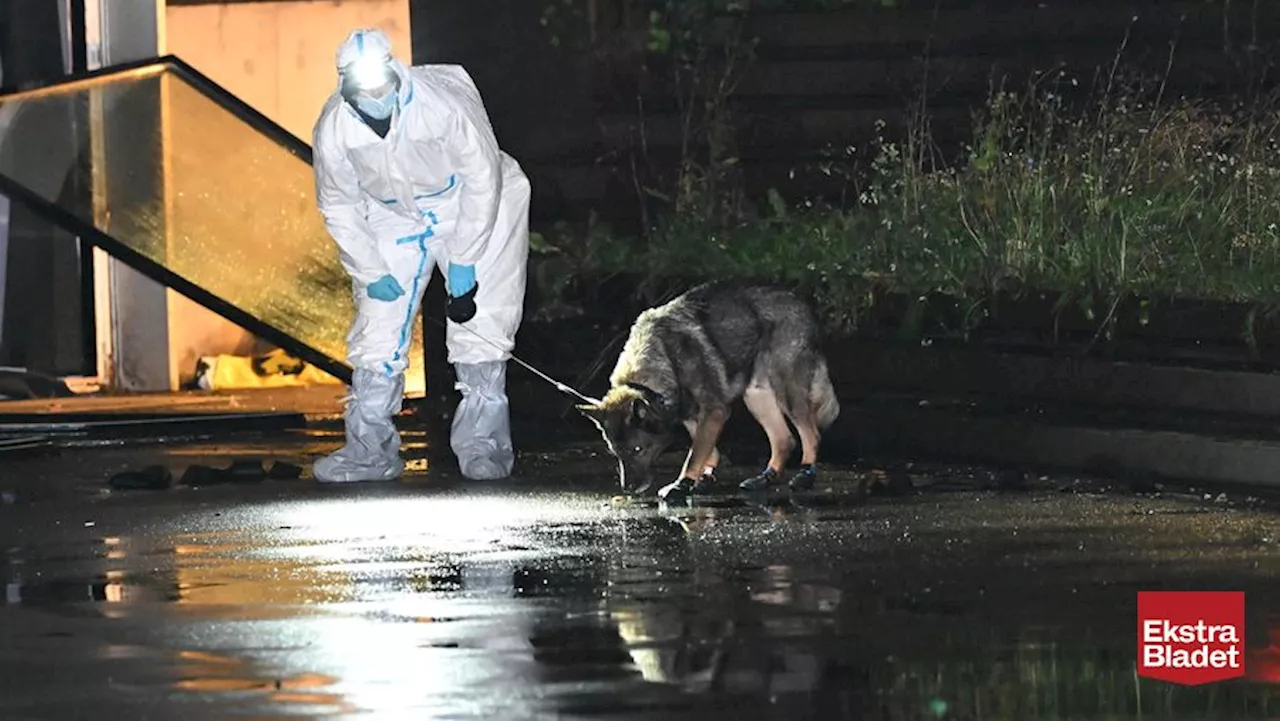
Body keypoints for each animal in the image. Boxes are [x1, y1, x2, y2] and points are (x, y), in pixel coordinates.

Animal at [578, 283, 839, 502]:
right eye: (615, 452)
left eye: (637, 450)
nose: (629, 489)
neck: (662, 358)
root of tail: (802, 304)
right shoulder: (690, 413)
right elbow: (706, 449)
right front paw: (703, 476)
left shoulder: (715, 411)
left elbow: (694, 453)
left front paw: (682, 483)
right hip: (756, 395)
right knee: (784, 439)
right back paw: (766, 477)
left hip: (787, 391)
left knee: (811, 434)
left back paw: (805, 475)